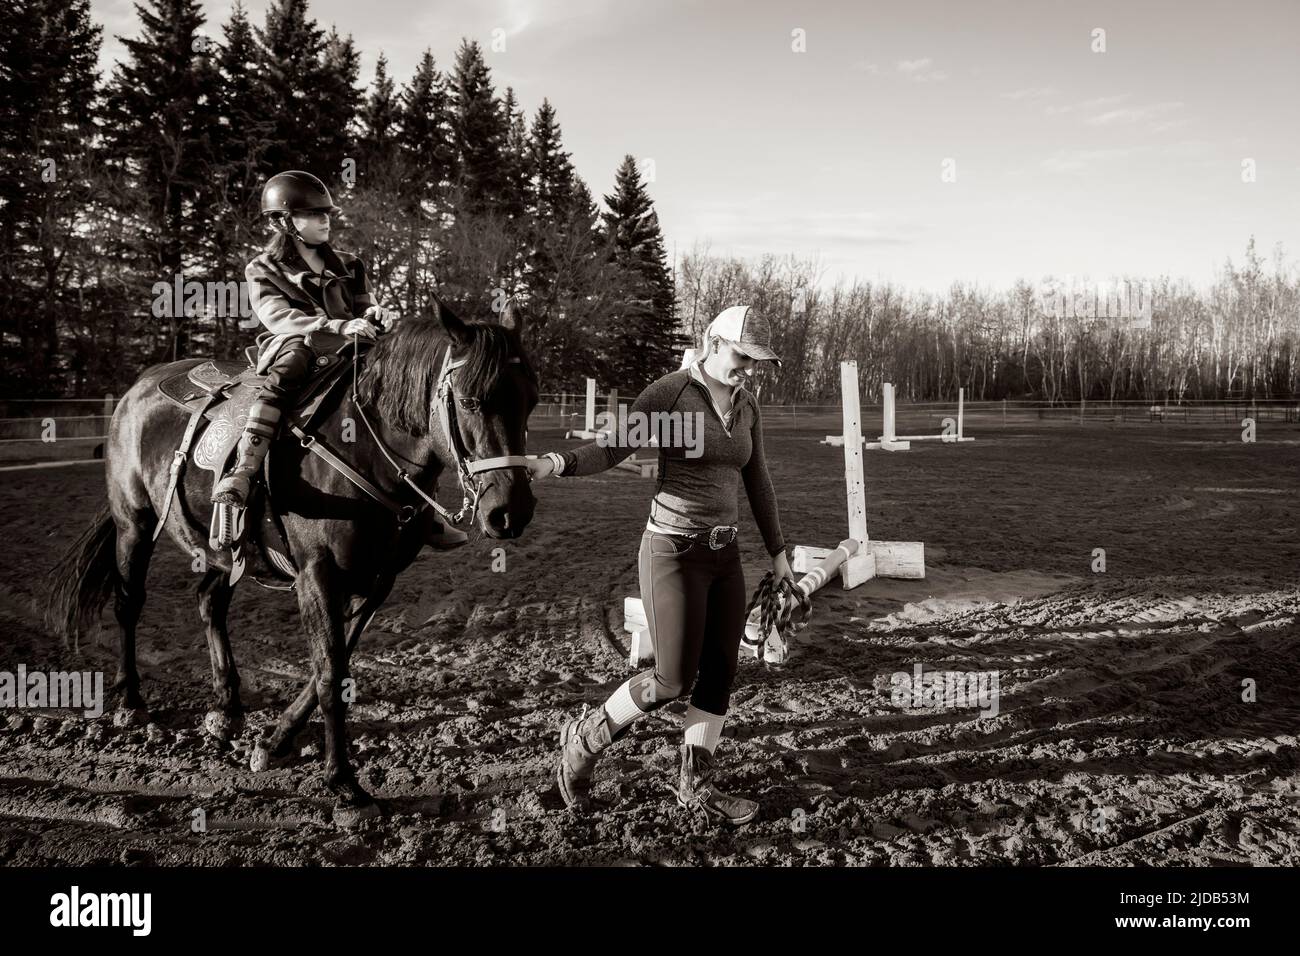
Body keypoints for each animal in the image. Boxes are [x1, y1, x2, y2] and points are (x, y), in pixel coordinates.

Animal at [47, 297, 538, 816]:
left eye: (531, 400)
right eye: (470, 402)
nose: (511, 511)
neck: (363, 451)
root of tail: (138, 387)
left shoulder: (376, 580)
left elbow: (334, 662)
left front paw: (276, 741)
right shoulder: (317, 574)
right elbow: (330, 673)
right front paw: (343, 783)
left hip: (226, 549)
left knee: (208, 602)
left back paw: (227, 708)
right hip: (134, 524)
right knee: (129, 603)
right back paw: (130, 701)